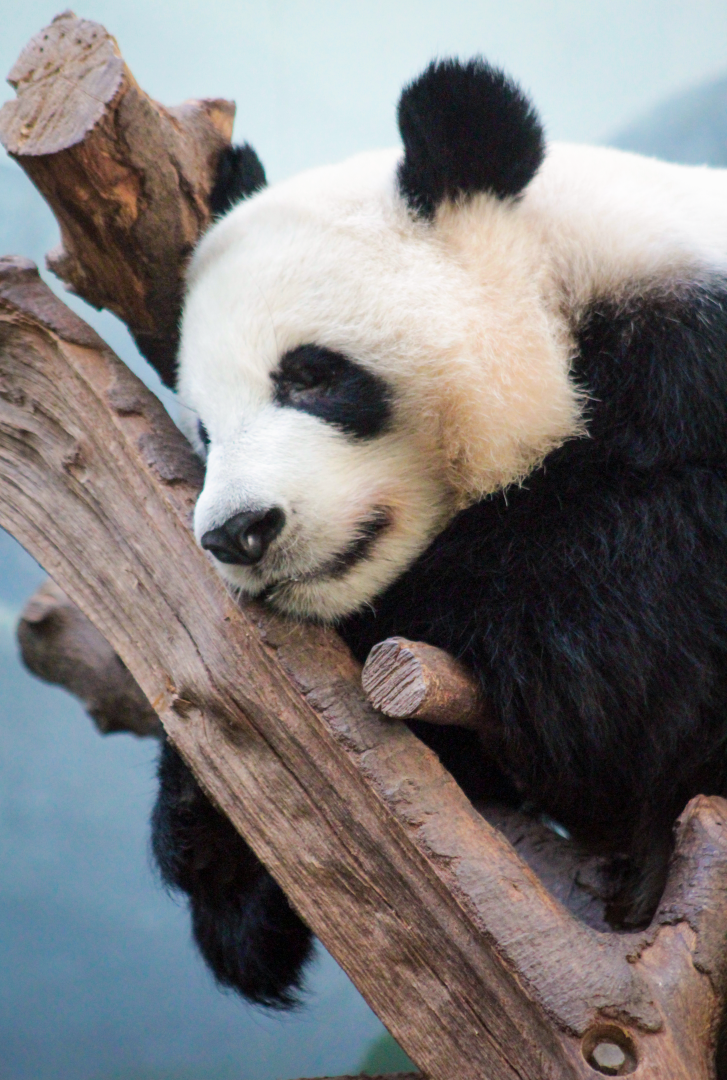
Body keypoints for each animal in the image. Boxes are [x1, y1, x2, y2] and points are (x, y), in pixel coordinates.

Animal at [152, 58, 727, 1008]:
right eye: (203, 430)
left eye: (309, 374)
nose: (238, 532)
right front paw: (218, 848)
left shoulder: (691, 385)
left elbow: (599, 636)